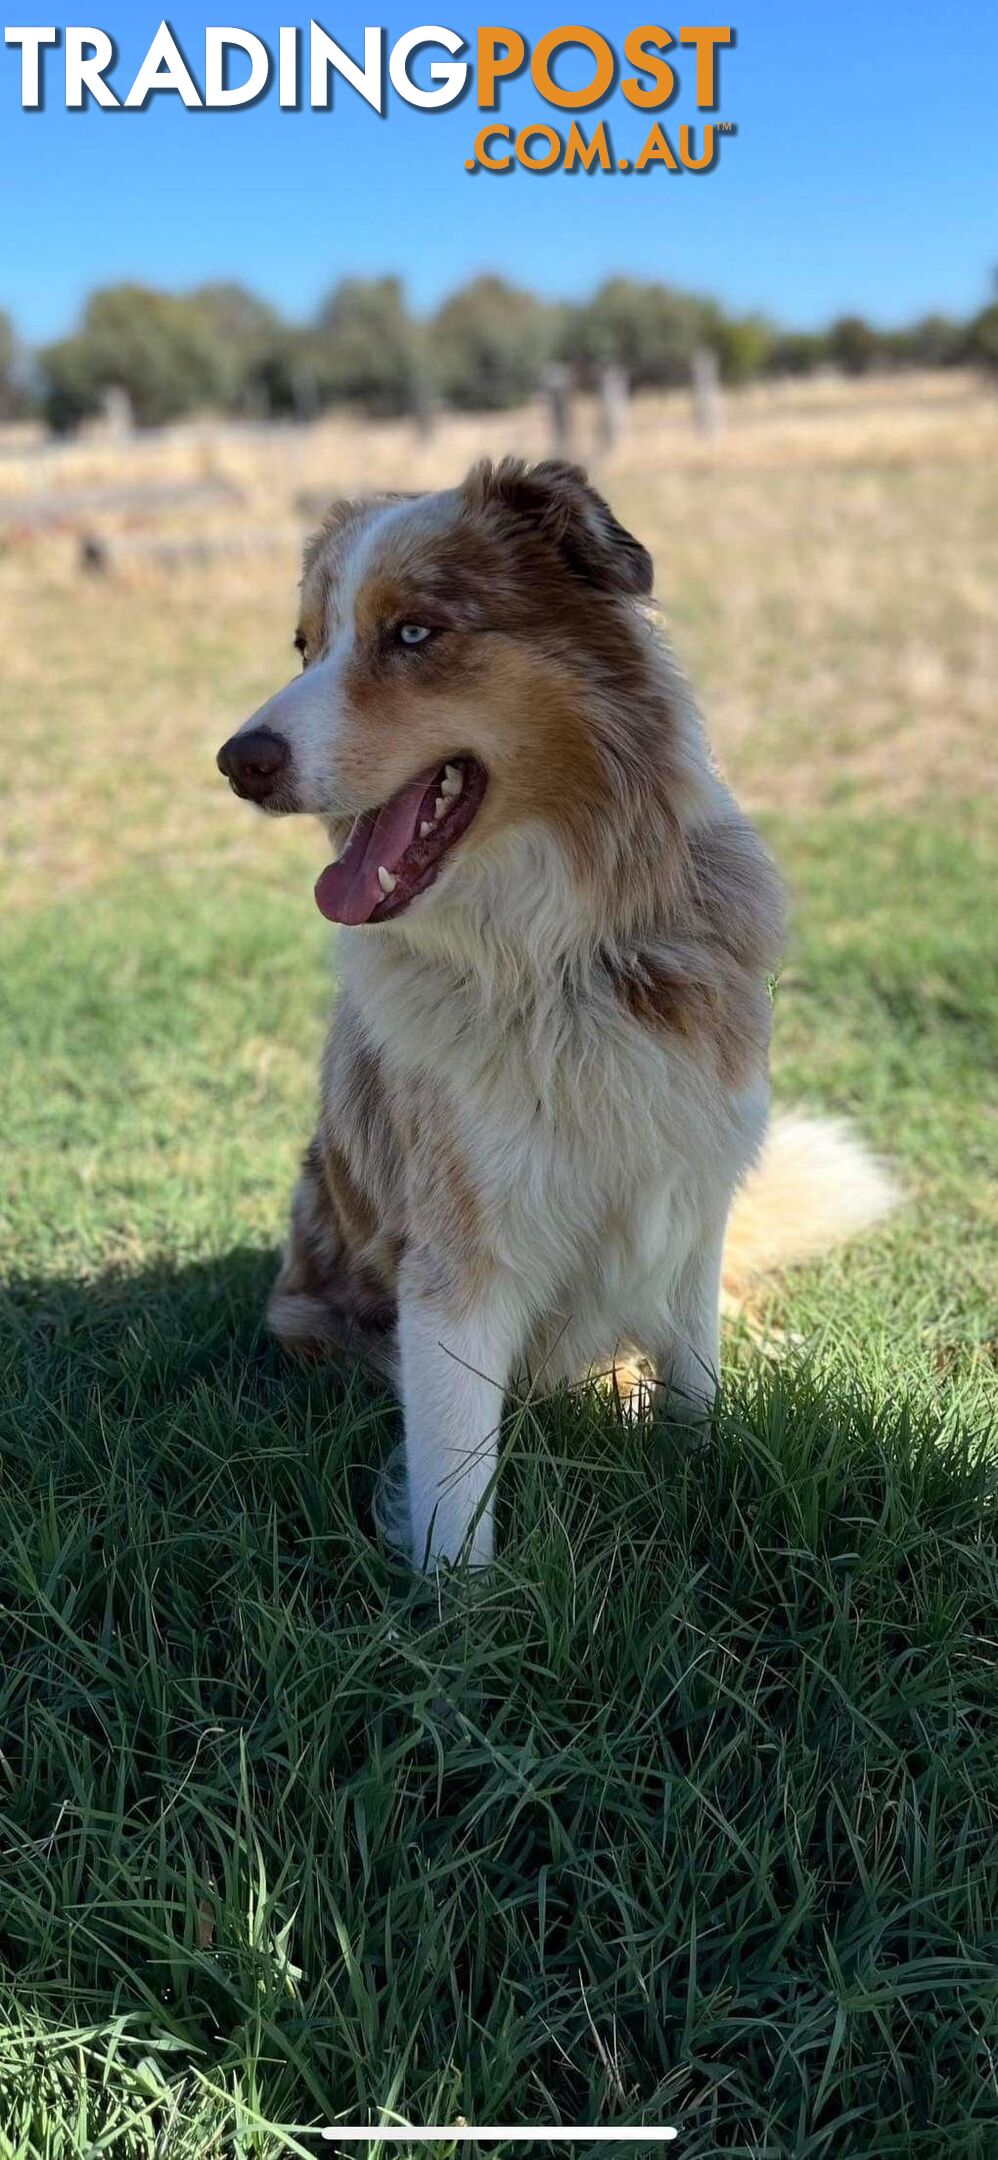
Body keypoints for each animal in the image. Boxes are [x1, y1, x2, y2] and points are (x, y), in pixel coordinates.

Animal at [214, 460, 894, 1572]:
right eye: (305, 644)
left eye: (413, 633)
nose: (238, 761)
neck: (564, 955)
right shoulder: (458, 1260)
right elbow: (455, 1494)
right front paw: (460, 1615)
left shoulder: (694, 1190)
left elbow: (694, 1378)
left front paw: (702, 1467)